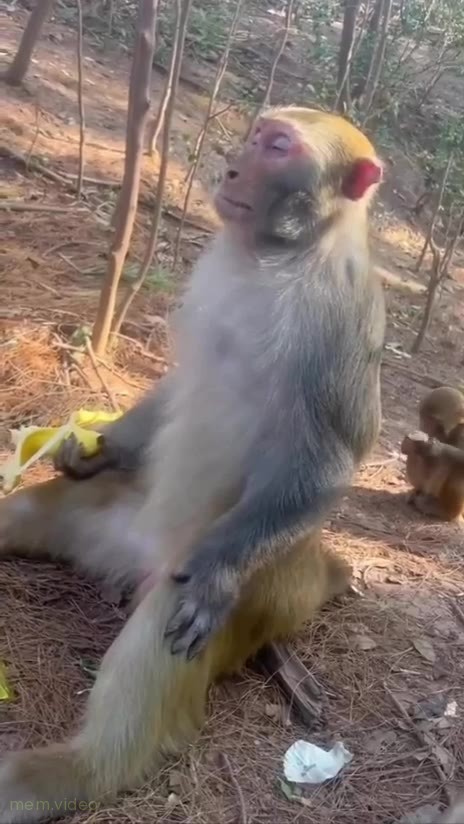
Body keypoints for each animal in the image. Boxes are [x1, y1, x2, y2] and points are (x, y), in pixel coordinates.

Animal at [0, 106, 385, 821]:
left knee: (166, 623)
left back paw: (69, 774)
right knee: (41, 510)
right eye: (258, 135)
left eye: (277, 147)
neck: (279, 255)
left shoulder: (337, 317)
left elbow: (326, 459)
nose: (231, 168)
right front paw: (94, 447)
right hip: (110, 515)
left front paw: (216, 574)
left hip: (248, 587)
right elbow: (178, 381)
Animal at [401, 386, 464, 521]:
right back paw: (416, 492)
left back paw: (446, 511)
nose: (423, 427)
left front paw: (436, 449)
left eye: (431, 420)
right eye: (423, 418)